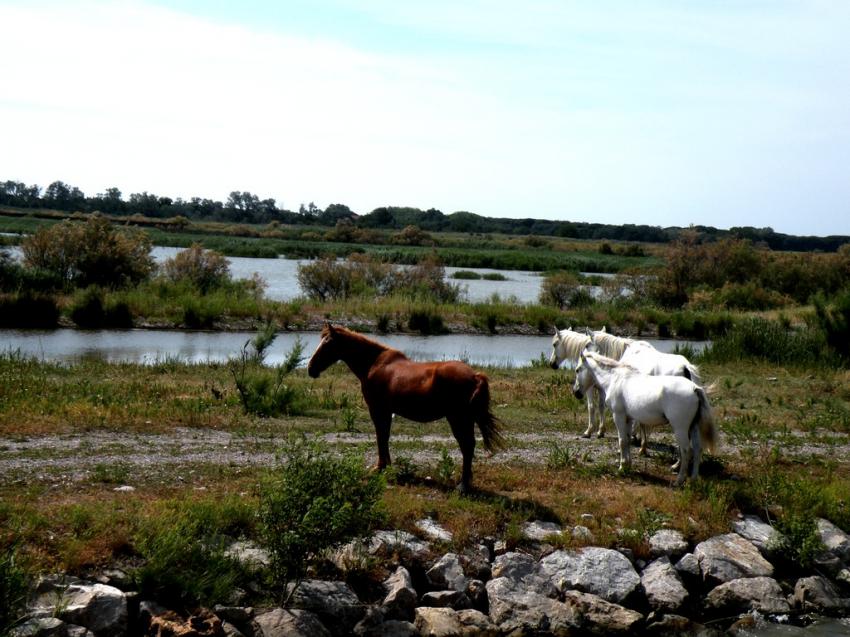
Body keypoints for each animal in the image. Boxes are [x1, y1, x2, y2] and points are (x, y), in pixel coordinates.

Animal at [307, 324, 505, 493]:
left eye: (328, 343)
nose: (310, 368)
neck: (374, 364)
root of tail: (475, 376)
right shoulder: (387, 411)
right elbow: (384, 436)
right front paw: (385, 465)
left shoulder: (378, 410)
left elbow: (381, 436)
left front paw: (380, 467)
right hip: (466, 419)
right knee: (469, 446)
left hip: (458, 418)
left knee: (467, 445)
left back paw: (462, 485)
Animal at [572, 349, 717, 486]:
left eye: (577, 369)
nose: (576, 392)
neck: (615, 379)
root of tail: (694, 388)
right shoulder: (628, 418)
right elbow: (627, 440)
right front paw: (627, 465)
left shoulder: (618, 416)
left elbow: (622, 441)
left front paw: (621, 467)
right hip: (694, 426)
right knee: (697, 449)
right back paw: (693, 479)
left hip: (680, 428)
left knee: (686, 450)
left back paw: (679, 480)